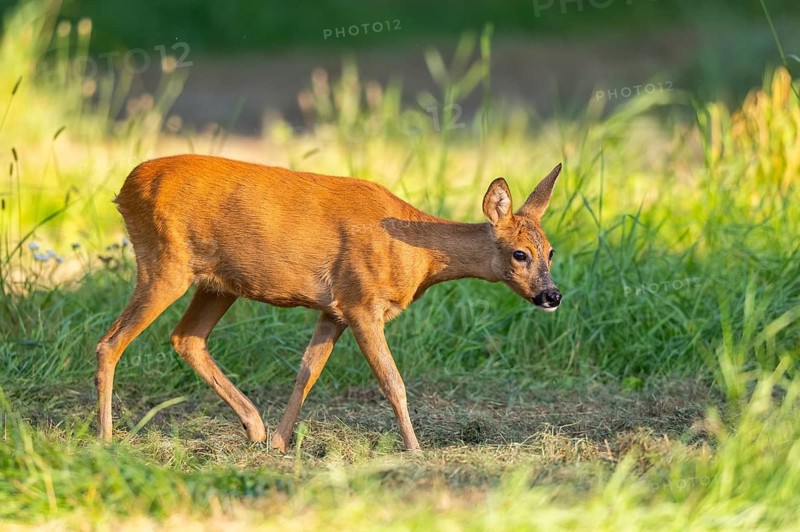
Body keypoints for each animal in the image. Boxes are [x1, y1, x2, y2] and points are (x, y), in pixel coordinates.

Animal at [95, 155, 563, 452]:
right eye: (520, 253)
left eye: (551, 251)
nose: (552, 295)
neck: (418, 254)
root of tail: (125, 189)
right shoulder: (360, 301)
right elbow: (393, 381)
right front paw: (416, 450)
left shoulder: (332, 310)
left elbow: (307, 373)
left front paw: (280, 443)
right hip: (164, 262)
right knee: (111, 342)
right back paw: (106, 438)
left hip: (217, 284)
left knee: (186, 338)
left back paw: (255, 428)